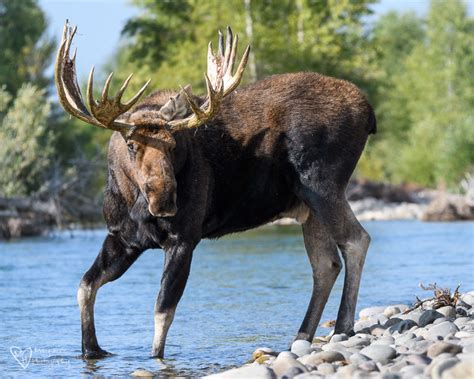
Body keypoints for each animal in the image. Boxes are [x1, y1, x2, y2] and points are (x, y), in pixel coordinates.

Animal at [55, 22, 376, 360]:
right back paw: (301, 336)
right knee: (326, 264)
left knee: (355, 240)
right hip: (308, 206)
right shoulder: (123, 238)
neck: (136, 203)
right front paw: (91, 348)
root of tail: (369, 113)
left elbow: (162, 311)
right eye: (131, 145)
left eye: (173, 145)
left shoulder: (184, 239)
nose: (165, 199)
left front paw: (155, 358)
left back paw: (342, 327)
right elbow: (85, 286)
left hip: (321, 185)